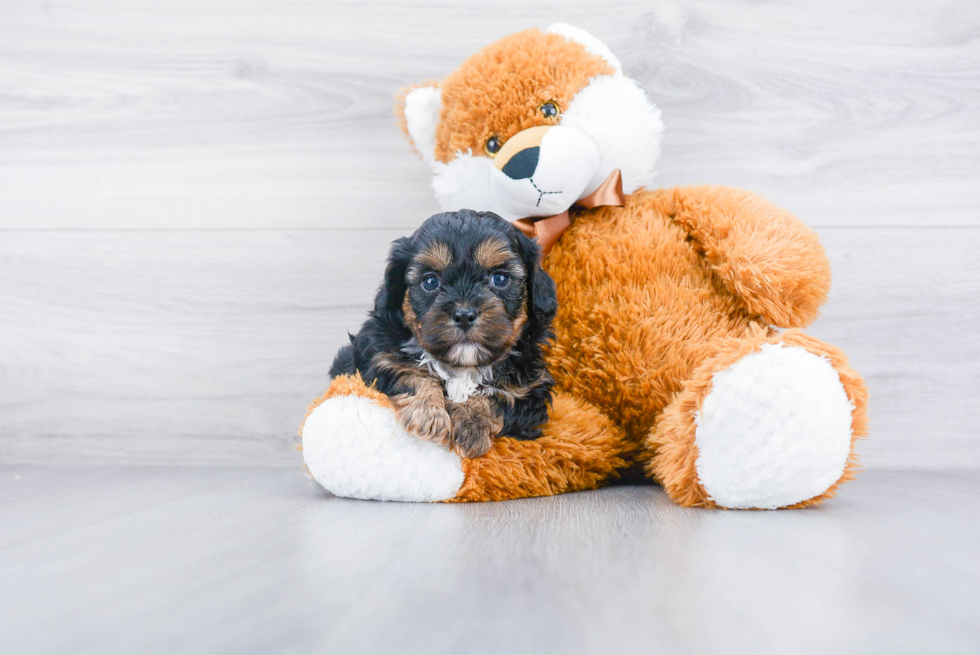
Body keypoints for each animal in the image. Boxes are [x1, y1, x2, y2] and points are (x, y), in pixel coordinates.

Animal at [332, 209, 556, 456]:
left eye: (500, 278)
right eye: (430, 282)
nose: (464, 315)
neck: (463, 366)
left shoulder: (531, 390)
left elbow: (499, 397)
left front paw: (471, 423)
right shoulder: (378, 359)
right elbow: (408, 373)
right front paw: (427, 413)